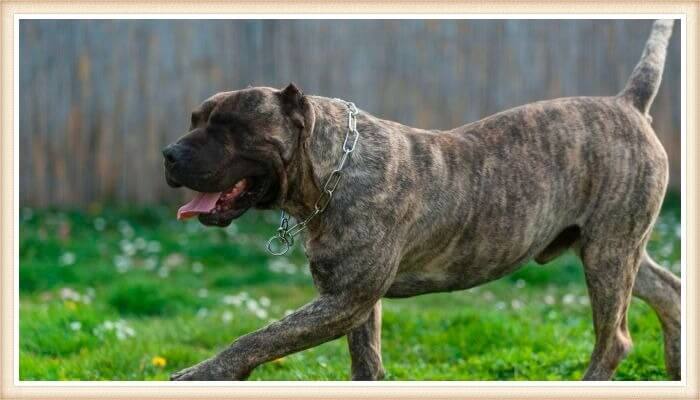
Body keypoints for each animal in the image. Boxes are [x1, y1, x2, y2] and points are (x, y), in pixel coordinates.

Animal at [163, 19, 680, 382]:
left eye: (229, 126)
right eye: (194, 120)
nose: (168, 153)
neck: (333, 167)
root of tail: (627, 103)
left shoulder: (343, 301)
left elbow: (257, 338)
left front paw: (201, 373)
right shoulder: (352, 303)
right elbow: (365, 364)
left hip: (607, 253)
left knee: (614, 340)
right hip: (613, 248)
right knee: (669, 293)